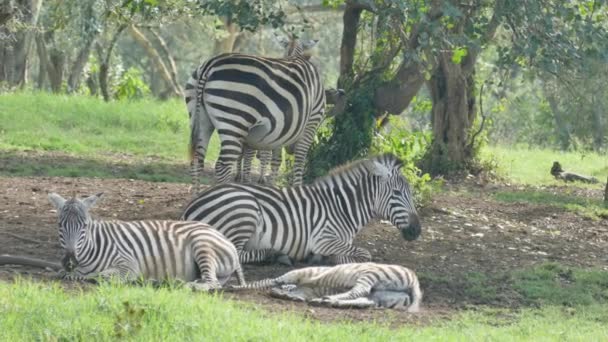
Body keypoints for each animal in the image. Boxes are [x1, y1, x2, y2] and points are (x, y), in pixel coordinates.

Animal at [47, 192, 245, 292]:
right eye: (60, 225)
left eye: (85, 226)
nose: (70, 261)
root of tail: (223, 236)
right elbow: (63, 273)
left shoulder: (128, 265)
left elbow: (101, 276)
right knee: (210, 280)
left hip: (202, 244)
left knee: (212, 283)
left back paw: (185, 286)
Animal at [180, 154, 422, 266]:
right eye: (397, 193)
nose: (417, 231)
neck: (342, 207)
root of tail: (191, 207)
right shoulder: (323, 239)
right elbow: (364, 254)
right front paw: (338, 261)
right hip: (244, 209)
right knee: (236, 253)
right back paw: (275, 254)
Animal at [229, 262, 422, 312]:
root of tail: (414, 279)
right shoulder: (304, 286)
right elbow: (283, 289)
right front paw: (290, 296)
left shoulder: (300, 273)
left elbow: (270, 281)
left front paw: (236, 287)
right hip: (379, 298)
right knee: (363, 300)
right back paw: (329, 301)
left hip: (371, 274)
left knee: (359, 291)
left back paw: (328, 299)